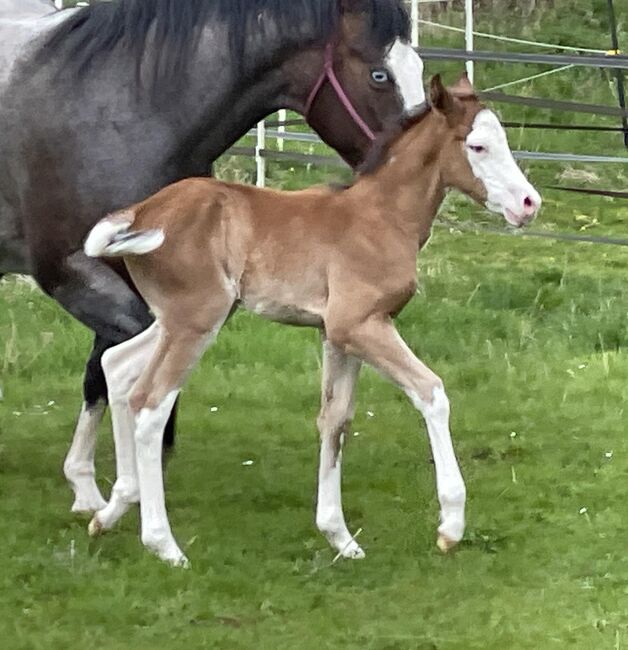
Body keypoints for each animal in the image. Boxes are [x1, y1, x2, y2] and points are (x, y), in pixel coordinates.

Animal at [86, 74, 544, 560]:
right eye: (477, 146)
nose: (530, 203)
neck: (381, 217)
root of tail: (142, 211)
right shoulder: (360, 325)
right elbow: (432, 393)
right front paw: (451, 525)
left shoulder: (336, 335)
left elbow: (335, 419)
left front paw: (339, 536)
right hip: (195, 321)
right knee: (150, 403)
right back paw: (163, 544)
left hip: (182, 319)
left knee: (117, 365)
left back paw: (111, 508)